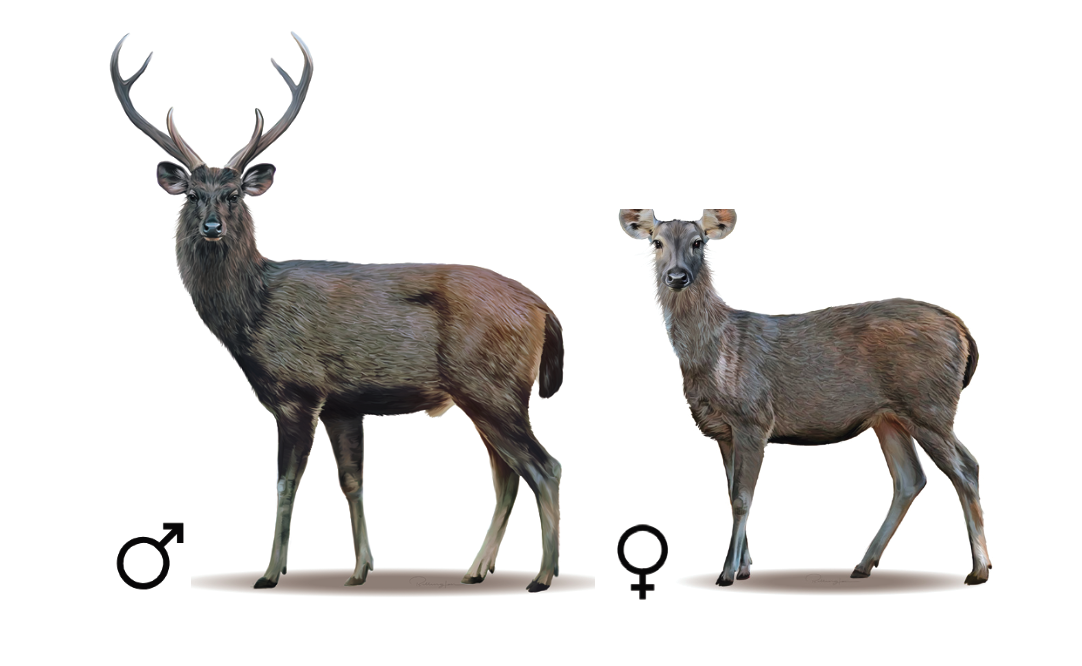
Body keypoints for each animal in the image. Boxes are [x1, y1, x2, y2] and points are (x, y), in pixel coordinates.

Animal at [110, 33, 565, 593]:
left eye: (234, 193)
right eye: (194, 194)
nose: (212, 225)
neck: (252, 315)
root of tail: (543, 308)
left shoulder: (298, 392)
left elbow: (285, 483)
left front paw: (270, 572)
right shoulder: (344, 404)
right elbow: (352, 481)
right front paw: (360, 568)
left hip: (493, 387)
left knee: (544, 466)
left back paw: (542, 575)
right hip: (483, 395)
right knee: (507, 475)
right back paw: (477, 568)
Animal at [619, 209, 990, 587]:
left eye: (698, 242)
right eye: (657, 242)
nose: (677, 276)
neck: (713, 354)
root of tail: (962, 331)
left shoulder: (753, 418)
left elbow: (741, 498)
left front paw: (727, 572)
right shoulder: (722, 430)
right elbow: (730, 492)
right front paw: (744, 566)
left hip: (929, 404)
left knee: (965, 468)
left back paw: (978, 569)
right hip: (890, 416)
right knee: (910, 478)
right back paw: (864, 564)